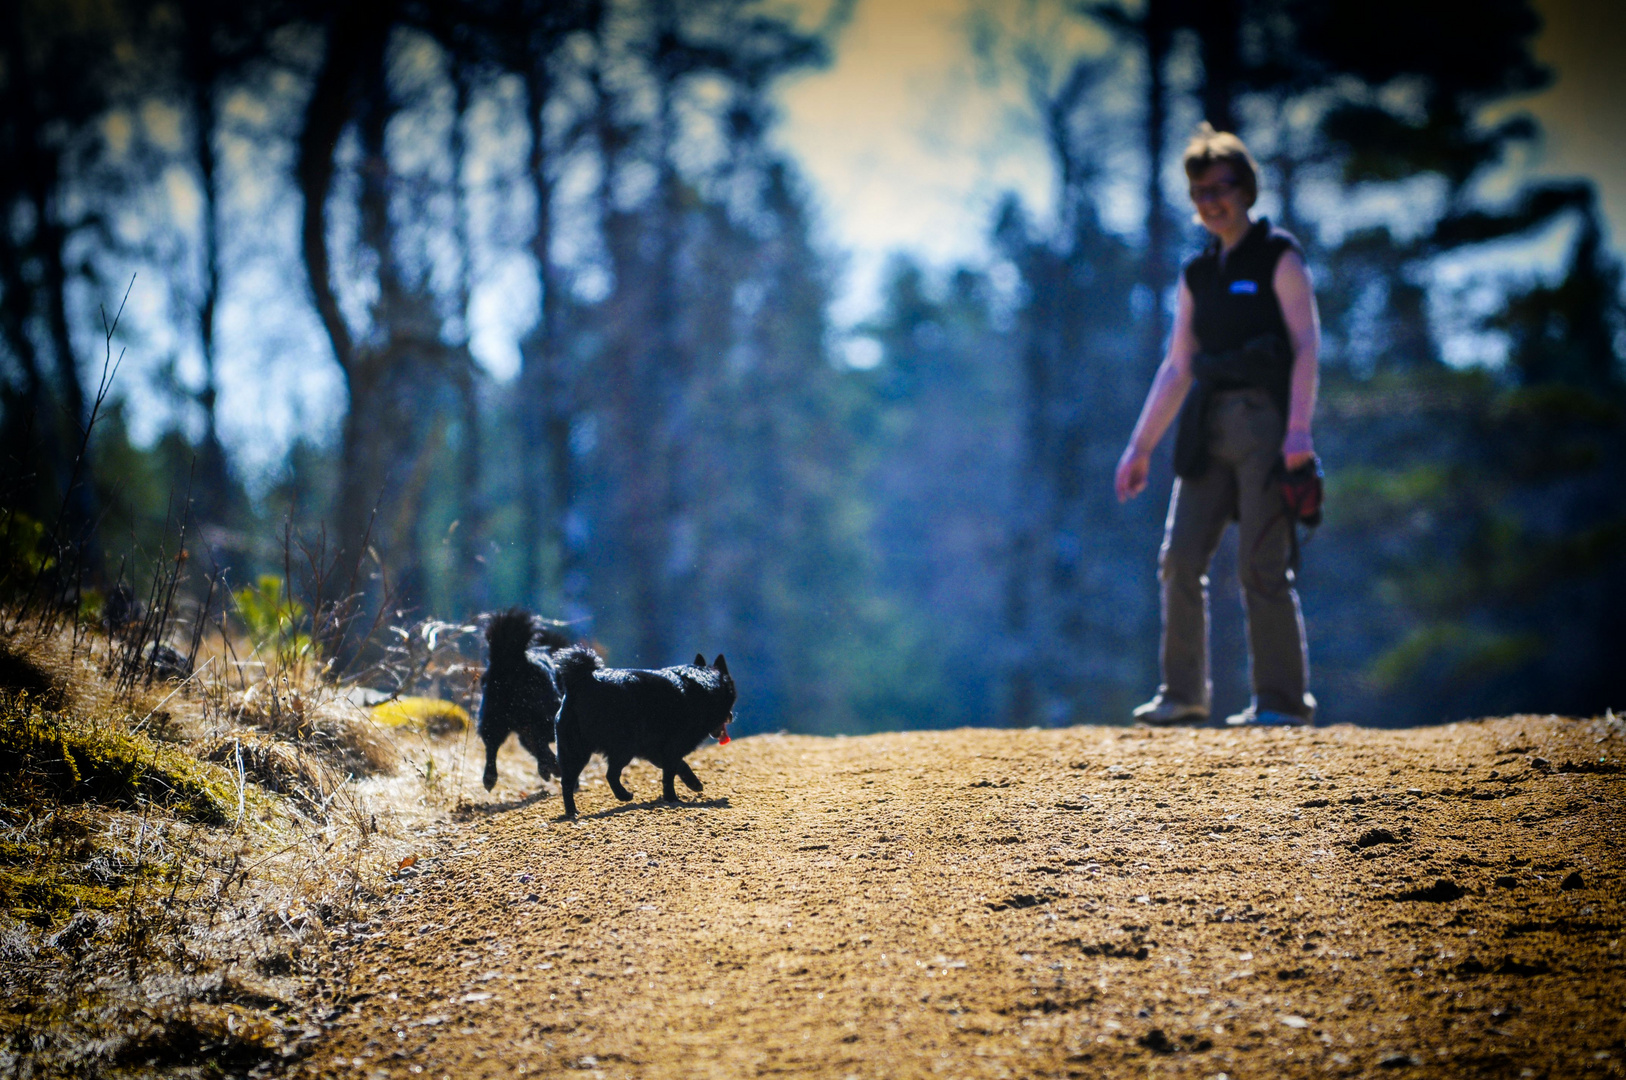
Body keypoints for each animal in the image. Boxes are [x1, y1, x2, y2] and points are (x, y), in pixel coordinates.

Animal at [474, 608, 569, 793]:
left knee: (492, 744)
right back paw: (552, 767)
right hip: (541, 715)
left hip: (492, 715)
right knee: (540, 739)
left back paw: (489, 778)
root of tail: (511, 663)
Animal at [556, 650, 741, 819]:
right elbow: (669, 776)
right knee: (610, 775)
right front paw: (672, 799)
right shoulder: (672, 748)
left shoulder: (657, 752)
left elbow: (681, 766)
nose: (731, 716)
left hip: (575, 752)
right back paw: (624, 796)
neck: (703, 686)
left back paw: (572, 812)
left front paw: (693, 783)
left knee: (567, 782)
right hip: (623, 748)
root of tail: (582, 681)